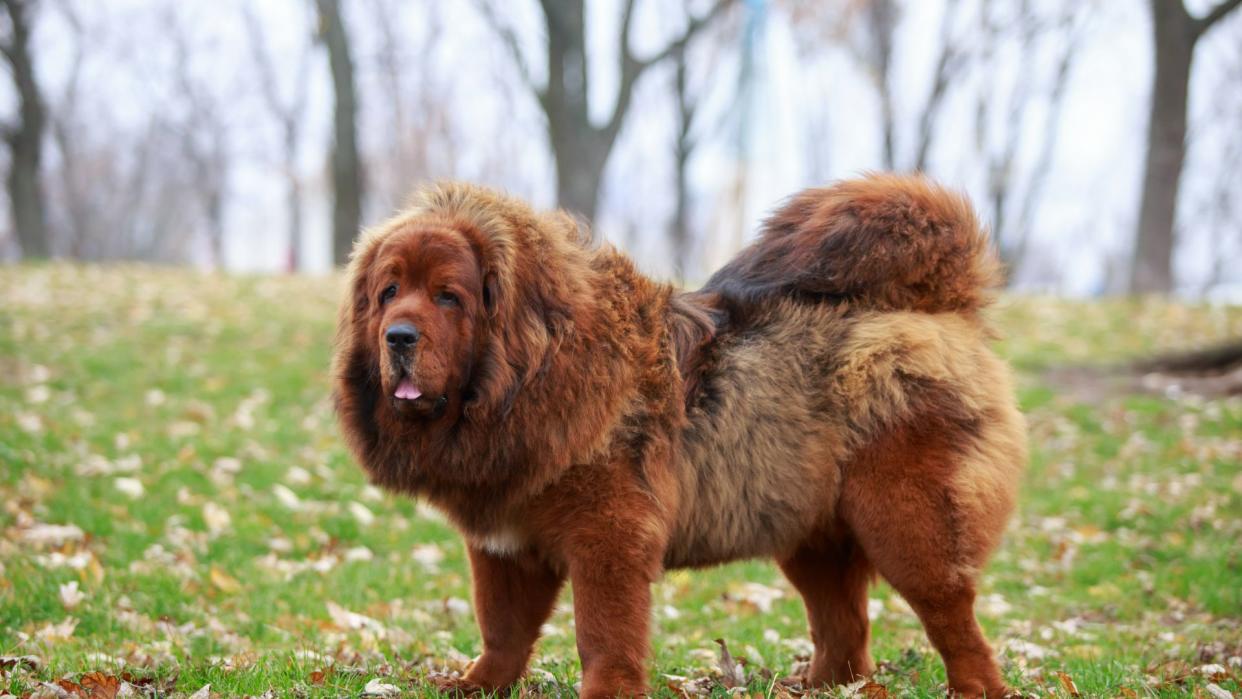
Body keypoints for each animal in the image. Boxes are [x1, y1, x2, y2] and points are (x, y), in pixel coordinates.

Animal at [332, 173, 1028, 695]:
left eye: (448, 297)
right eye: (388, 292)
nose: (398, 336)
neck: (530, 376)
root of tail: (942, 308)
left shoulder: (608, 537)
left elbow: (602, 635)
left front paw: (607, 692)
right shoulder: (504, 544)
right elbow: (502, 630)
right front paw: (476, 686)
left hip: (906, 523)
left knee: (953, 620)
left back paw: (973, 688)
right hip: (810, 533)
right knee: (845, 631)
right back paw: (819, 686)